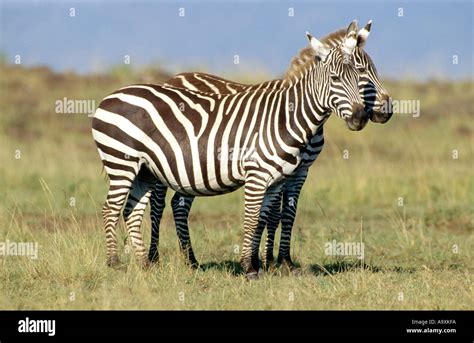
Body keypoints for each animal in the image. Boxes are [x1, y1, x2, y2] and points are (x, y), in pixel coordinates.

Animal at [93, 20, 370, 280]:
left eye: (358, 76)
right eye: (335, 79)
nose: (360, 118)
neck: (286, 117)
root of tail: (110, 97)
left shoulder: (278, 181)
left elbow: (264, 219)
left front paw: (260, 264)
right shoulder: (257, 175)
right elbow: (251, 219)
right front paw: (249, 268)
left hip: (145, 170)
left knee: (132, 211)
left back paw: (144, 265)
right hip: (122, 162)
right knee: (112, 209)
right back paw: (115, 263)